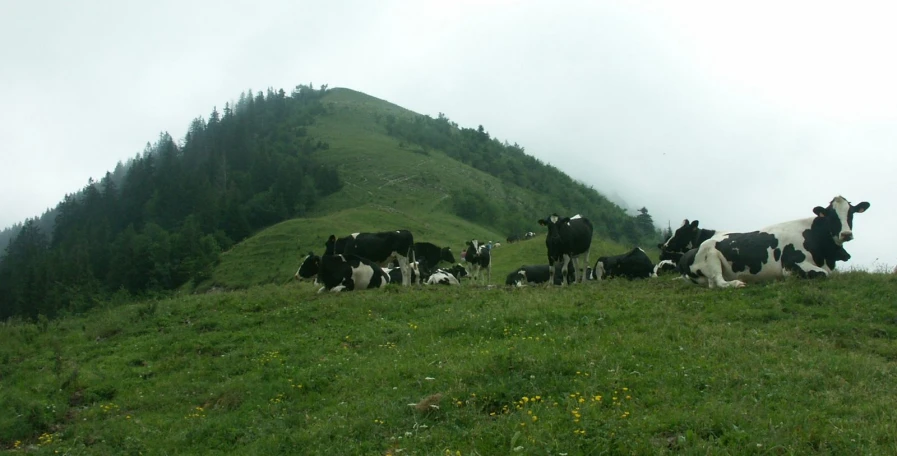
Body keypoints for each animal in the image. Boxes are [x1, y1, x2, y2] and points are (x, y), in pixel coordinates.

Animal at [680, 196, 868, 288]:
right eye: (830, 215)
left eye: (851, 214)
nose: (846, 234)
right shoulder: (792, 264)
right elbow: (824, 274)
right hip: (710, 254)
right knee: (718, 282)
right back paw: (737, 283)